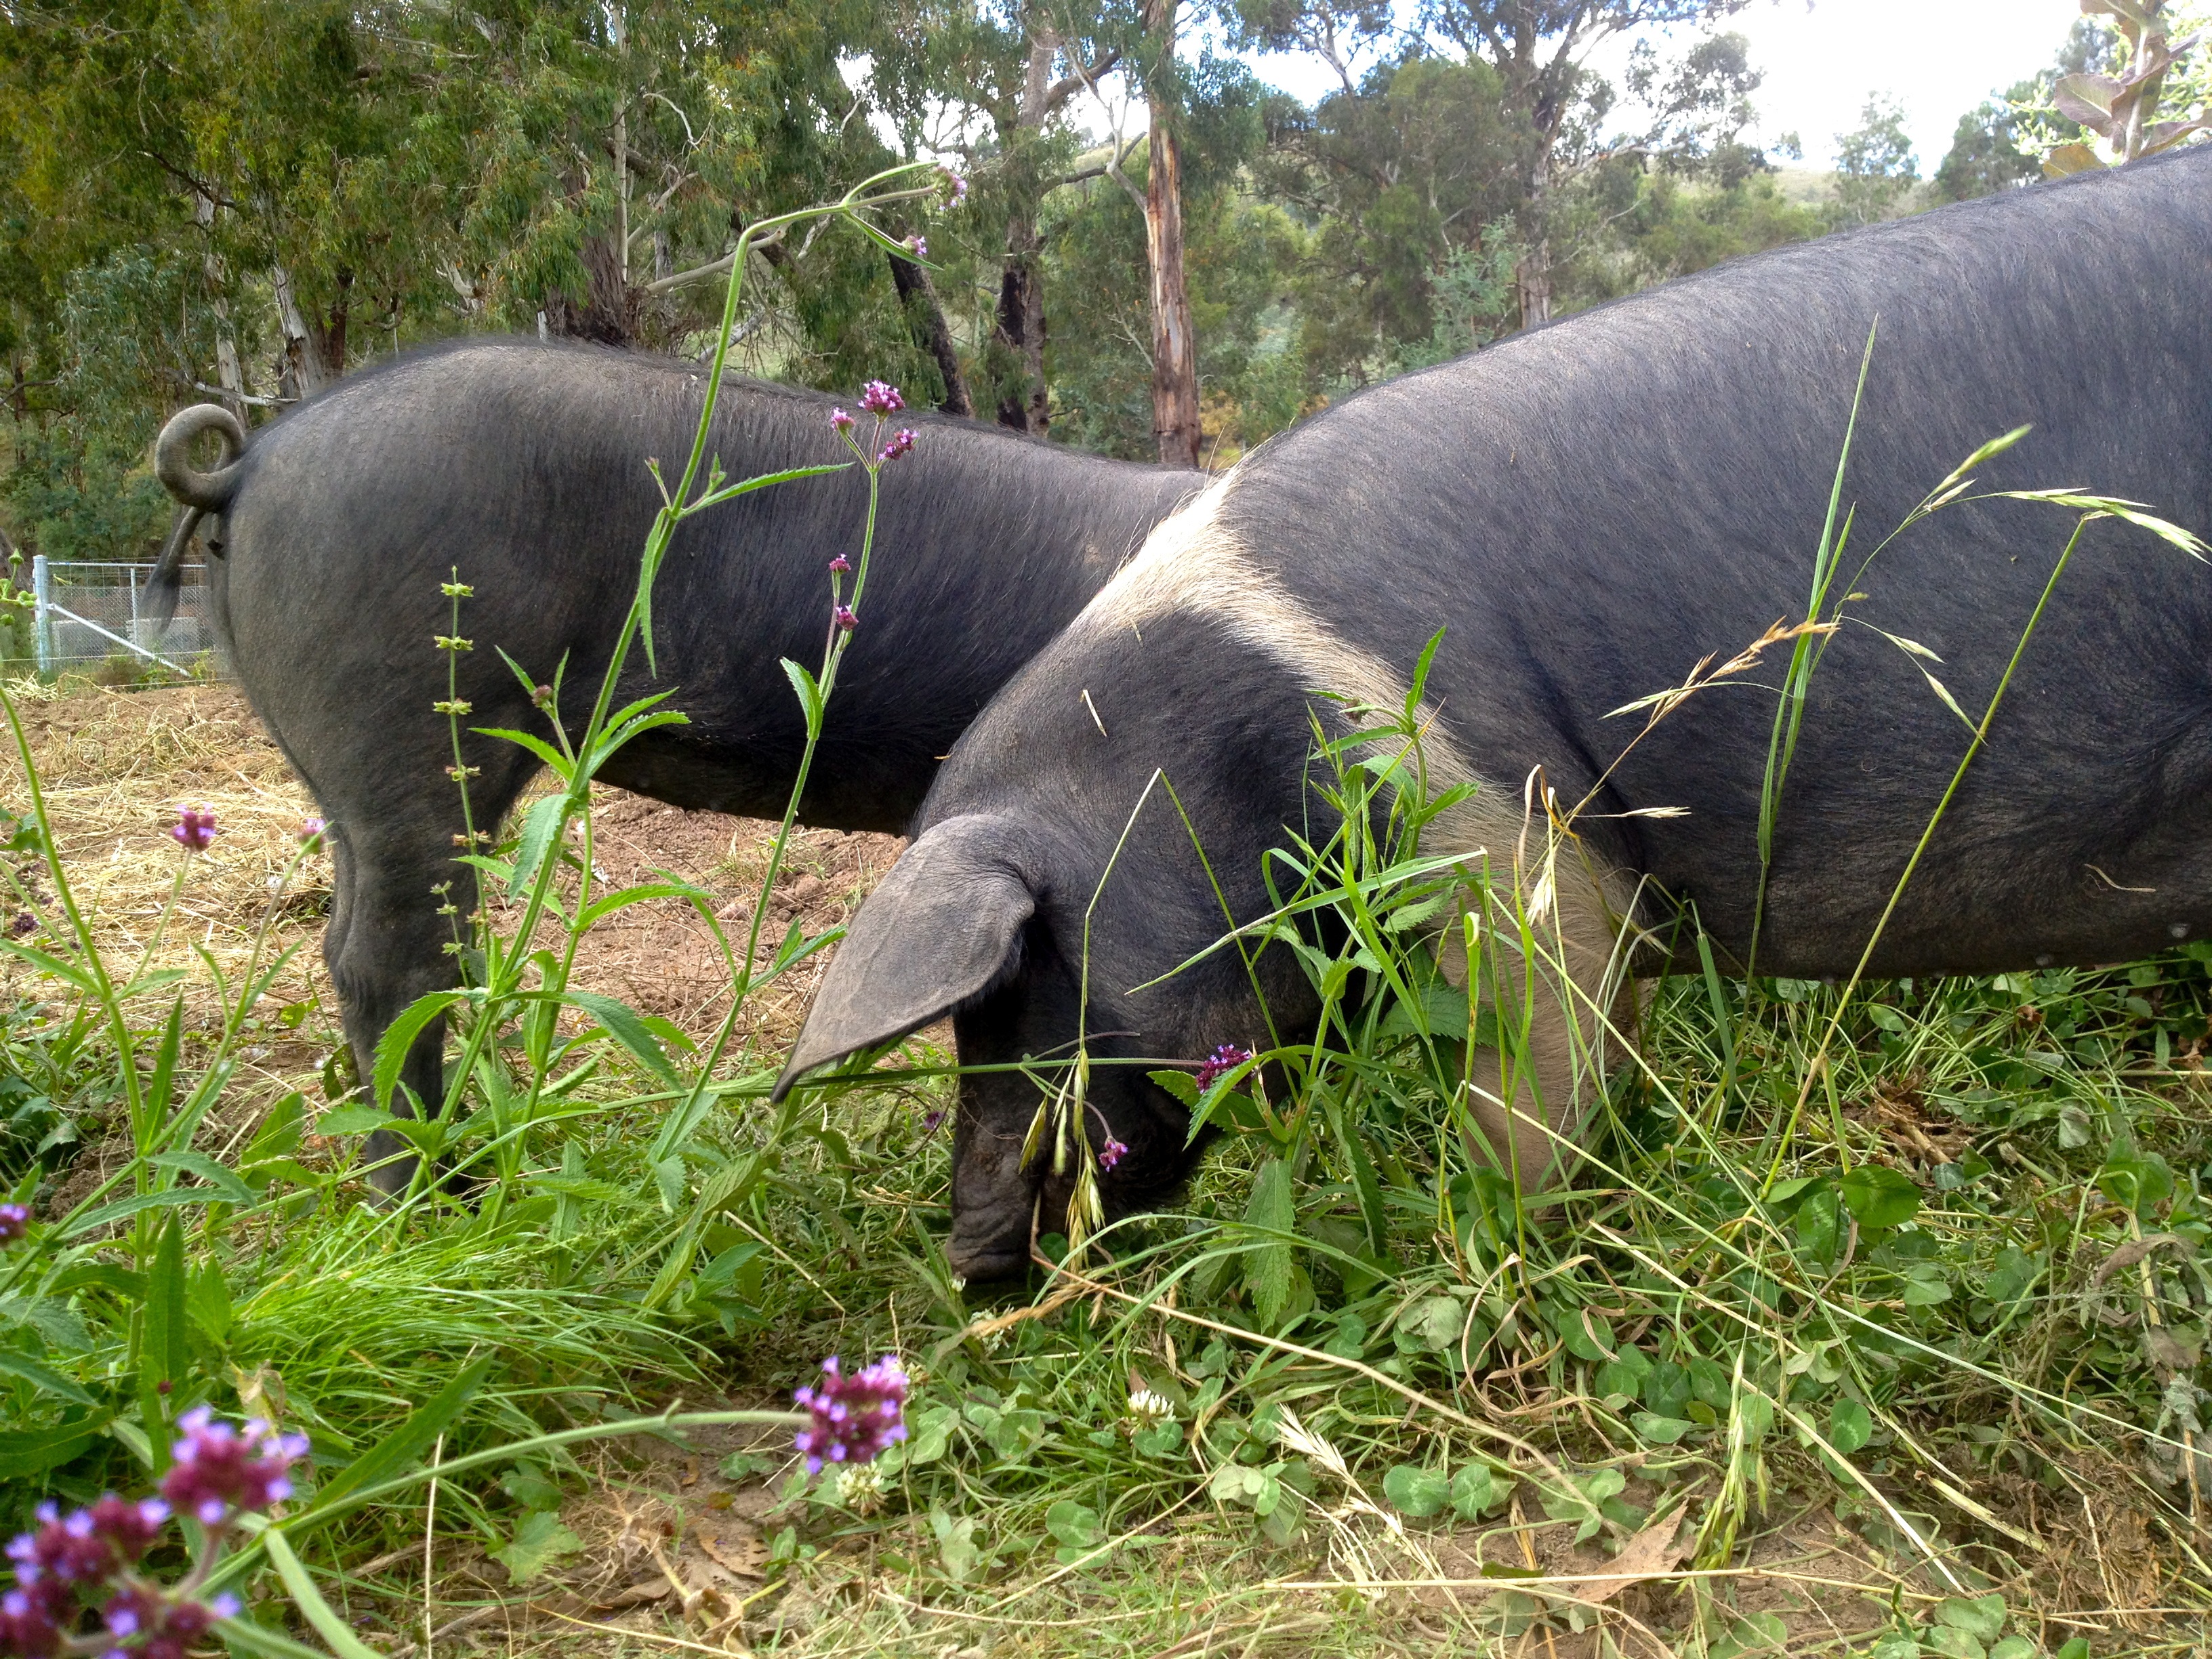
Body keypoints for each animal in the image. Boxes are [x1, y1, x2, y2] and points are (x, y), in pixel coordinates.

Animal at [149, 340, 1203, 1194]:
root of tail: (251, 462)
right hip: (411, 737)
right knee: (395, 964)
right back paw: (434, 1197)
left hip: (353, 785)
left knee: (361, 944)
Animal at [778, 149, 2212, 1283]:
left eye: (1013, 990)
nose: (969, 1261)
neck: (1225, 745)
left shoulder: (1504, 834)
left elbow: (1529, 1067)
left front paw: (1481, 1245)